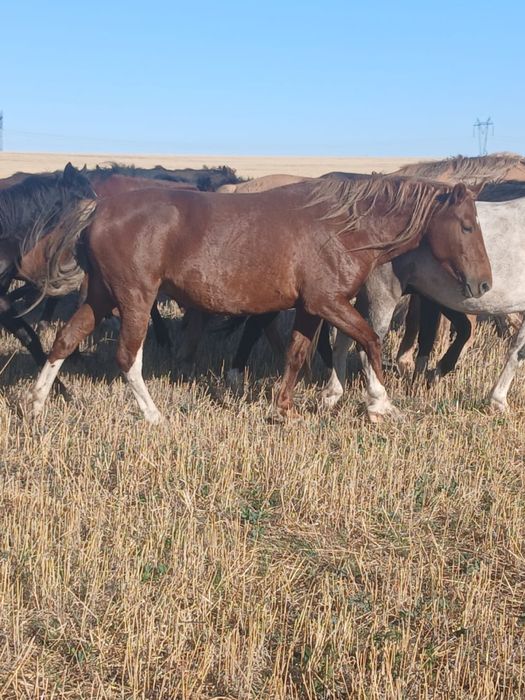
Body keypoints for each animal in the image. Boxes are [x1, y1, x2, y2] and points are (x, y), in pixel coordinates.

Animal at [25, 176, 491, 423]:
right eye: (467, 226)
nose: (484, 283)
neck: (343, 228)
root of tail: (98, 209)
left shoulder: (309, 307)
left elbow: (297, 354)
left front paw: (284, 408)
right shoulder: (328, 302)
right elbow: (370, 342)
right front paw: (381, 403)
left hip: (101, 297)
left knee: (64, 340)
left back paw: (35, 404)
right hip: (135, 298)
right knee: (126, 357)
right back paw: (154, 415)